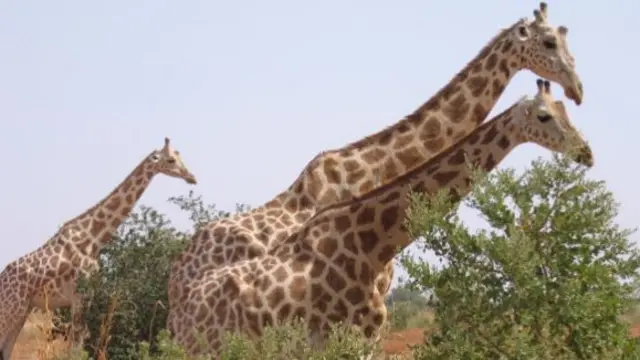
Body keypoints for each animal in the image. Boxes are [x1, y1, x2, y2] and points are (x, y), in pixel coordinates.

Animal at [0, 136, 198, 358]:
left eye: (180, 156)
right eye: (171, 160)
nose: (191, 177)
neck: (93, 239)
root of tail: (1, 279)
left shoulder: (86, 298)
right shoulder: (79, 298)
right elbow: (76, 348)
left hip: (22, 310)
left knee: (7, 349)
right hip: (10, 309)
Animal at [171, 79, 596, 358]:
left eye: (566, 110)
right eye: (543, 115)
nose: (586, 153)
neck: (372, 247)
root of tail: (183, 302)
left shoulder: (367, 341)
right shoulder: (340, 341)